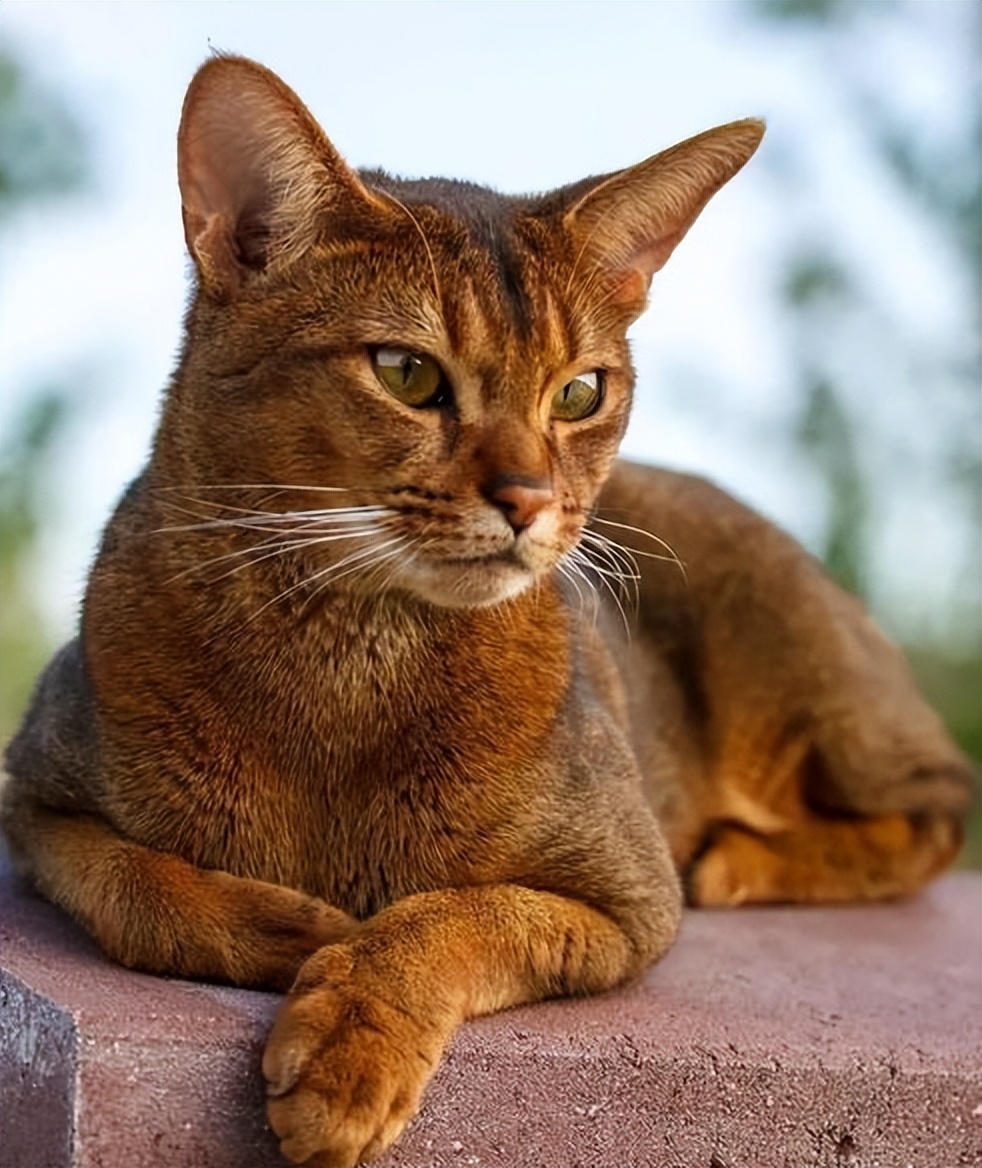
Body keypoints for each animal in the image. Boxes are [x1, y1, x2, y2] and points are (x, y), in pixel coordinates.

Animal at [1, 52, 971, 1168]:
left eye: (581, 392)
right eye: (406, 372)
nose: (529, 499)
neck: (347, 657)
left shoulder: (627, 895)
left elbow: (458, 914)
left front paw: (350, 1038)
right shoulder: (36, 793)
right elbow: (135, 884)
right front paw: (290, 929)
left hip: (810, 693)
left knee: (939, 806)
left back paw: (739, 859)